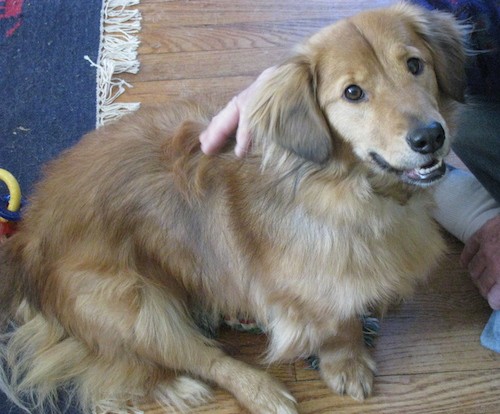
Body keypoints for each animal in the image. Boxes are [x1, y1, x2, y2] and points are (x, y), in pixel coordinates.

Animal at [0, 3, 468, 414]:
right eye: (353, 93)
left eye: (414, 65)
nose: (430, 136)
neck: (349, 188)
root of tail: (25, 238)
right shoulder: (311, 294)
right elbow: (338, 322)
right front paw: (347, 361)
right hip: (134, 306)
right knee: (190, 360)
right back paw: (243, 390)